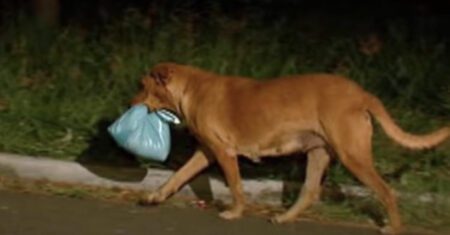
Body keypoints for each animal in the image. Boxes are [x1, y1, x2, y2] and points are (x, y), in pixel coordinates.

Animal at [132, 62, 448, 233]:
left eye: (143, 86)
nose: (129, 103)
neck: (190, 89)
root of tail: (362, 94)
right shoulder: (206, 152)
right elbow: (177, 177)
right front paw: (154, 197)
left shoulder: (224, 153)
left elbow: (235, 186)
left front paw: (235, 213)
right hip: (318, 153)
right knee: (310, 191)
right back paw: (284, 217)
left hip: (352, 156)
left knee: (386, 191)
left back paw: (394, 227)